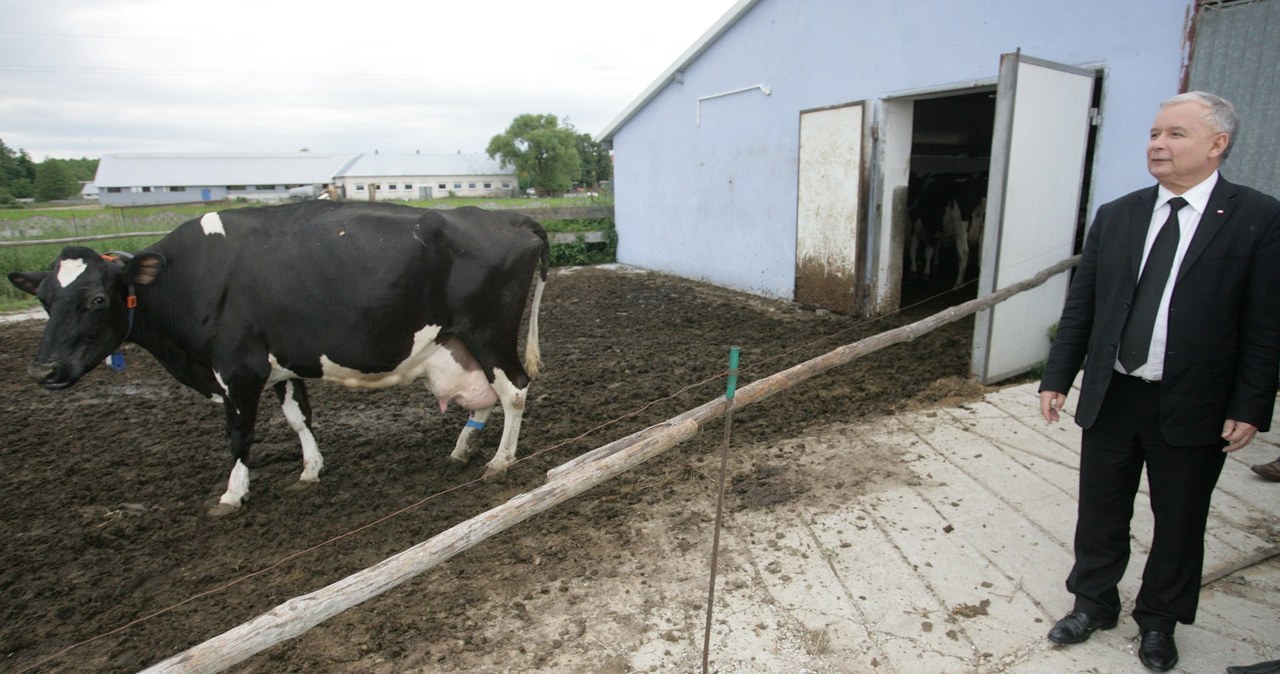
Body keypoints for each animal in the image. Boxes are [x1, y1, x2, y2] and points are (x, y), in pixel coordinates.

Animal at [8, 200, 550, 516]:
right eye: (45, 300)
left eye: (98, 299)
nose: (42, 370)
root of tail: (507, 216)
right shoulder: (277, 365)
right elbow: (297, 417)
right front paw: (310, 470)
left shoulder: (236, 369)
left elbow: (238, 433)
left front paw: (232, 494)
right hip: (459, 340)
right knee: (486, 395)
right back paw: (464, 448)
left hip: (488, 331)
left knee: (514, 390)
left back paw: (500, 460)